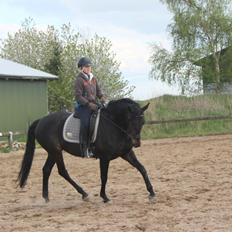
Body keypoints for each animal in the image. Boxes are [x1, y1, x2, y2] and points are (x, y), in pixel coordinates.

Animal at [17, 99, 155, 202]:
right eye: (131, 120)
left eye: (142, 121)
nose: (136, 143)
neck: (113, 124)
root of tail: (41, 120)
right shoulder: (104, 157)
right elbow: (104, 176)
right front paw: (104, 197)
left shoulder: (126, 153)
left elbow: (142, 168)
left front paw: (152, 193)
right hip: (55, 152)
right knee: (62, 171)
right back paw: (83, 194)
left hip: (53, 152)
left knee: (46, 170)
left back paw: (46, 197)